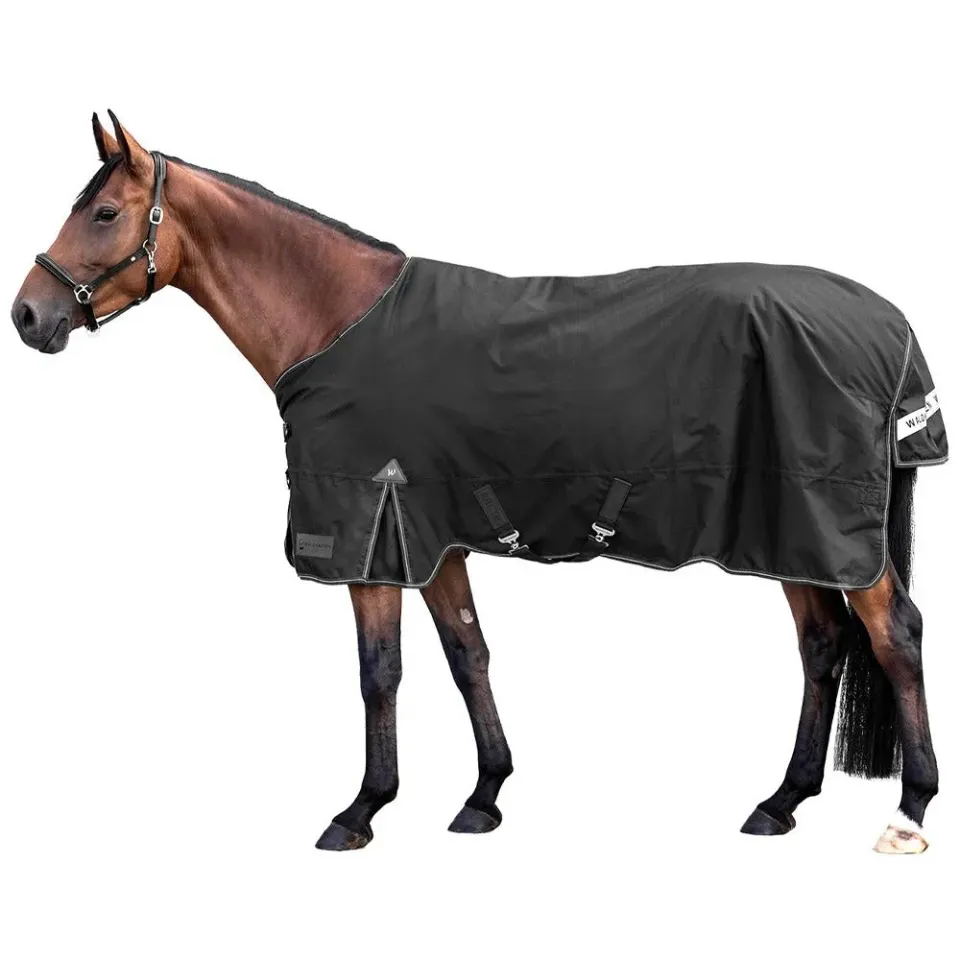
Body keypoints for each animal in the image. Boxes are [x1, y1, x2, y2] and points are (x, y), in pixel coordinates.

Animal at [12, 112, 945, 854]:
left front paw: (361, 811)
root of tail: (887, 324)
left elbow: (380, 672)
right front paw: (485, 795)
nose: (27, 315)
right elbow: (468, 654)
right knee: (822, 646)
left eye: (103, 212)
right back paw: (781, 802)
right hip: (791, 530)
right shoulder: (435, 537)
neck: (334, 320)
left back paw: (910, 811)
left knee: (894, 636)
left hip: (824, 528)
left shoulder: (373, 537)